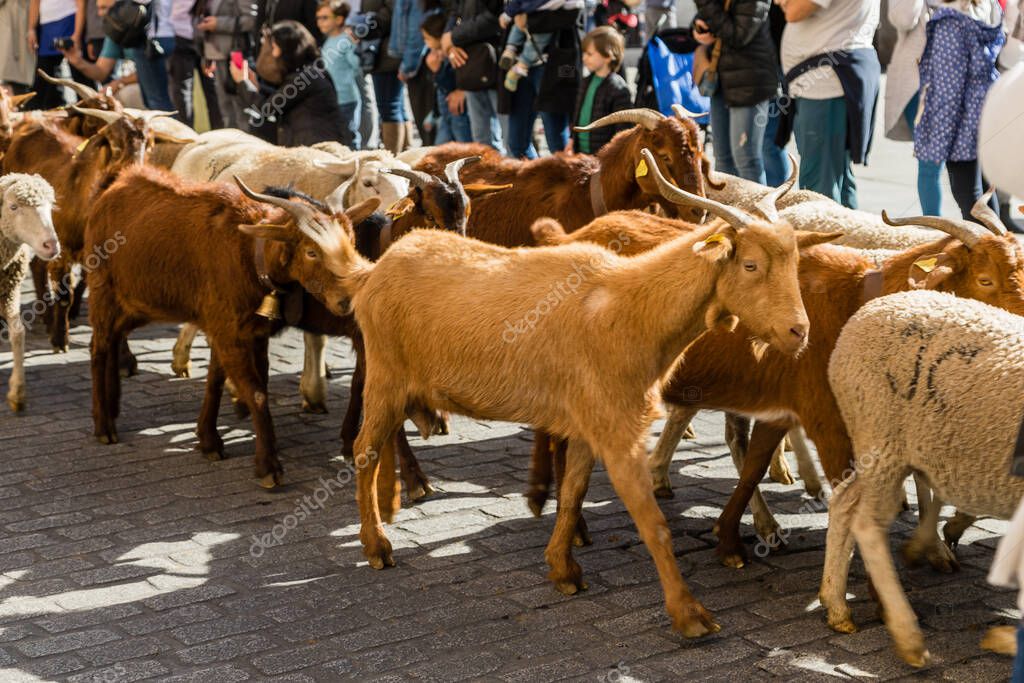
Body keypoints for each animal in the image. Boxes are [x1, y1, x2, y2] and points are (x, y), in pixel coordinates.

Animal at [84, 164, 380, 485]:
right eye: (311, 251)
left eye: (352, 242)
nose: (348, 301)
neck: (249, 254)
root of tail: (113, 186)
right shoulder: (229, 331)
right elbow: (256, 392)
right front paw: (268, 466)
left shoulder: (247, 331)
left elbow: (223, 379)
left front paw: (209, 440)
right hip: (102, 289)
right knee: (99, 348)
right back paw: (103, 425)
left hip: (136, 302)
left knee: (114, 337)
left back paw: (113, 405)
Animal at [819, 290, 1024, 667]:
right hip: (881, 435)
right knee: (867, 524)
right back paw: (907, 635)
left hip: (880, 447)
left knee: (843, 501)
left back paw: (835, 604)